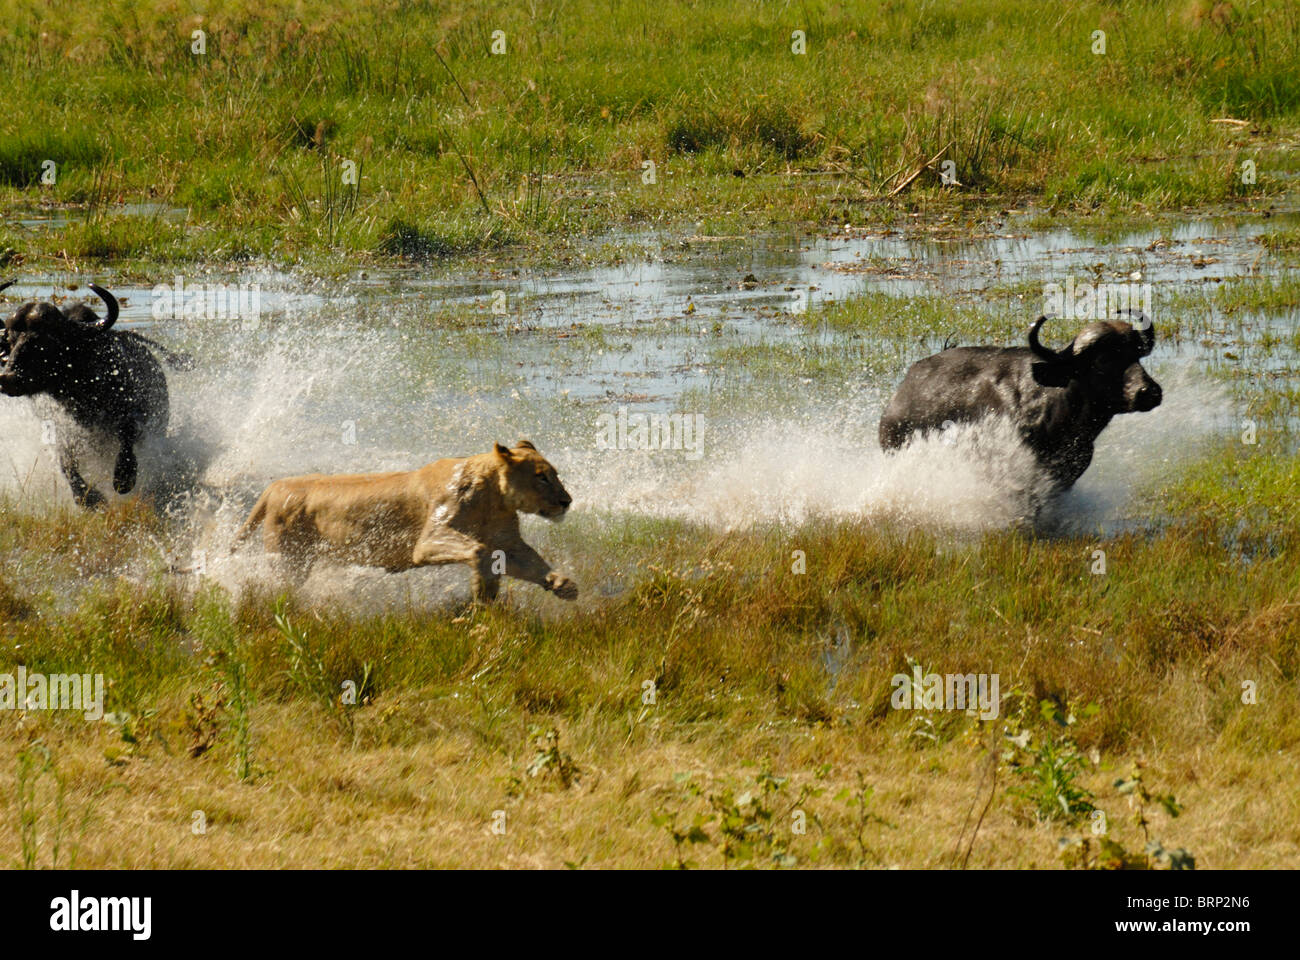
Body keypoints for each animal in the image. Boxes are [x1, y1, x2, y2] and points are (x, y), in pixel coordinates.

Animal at [0, 278, 191, 509]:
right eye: (11, 340)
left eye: (44, 341)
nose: (7, 378)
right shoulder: (61, 430)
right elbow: (65, 463)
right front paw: (88, 498)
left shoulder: (131, 416)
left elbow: (127, 437)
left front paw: (123, 479)